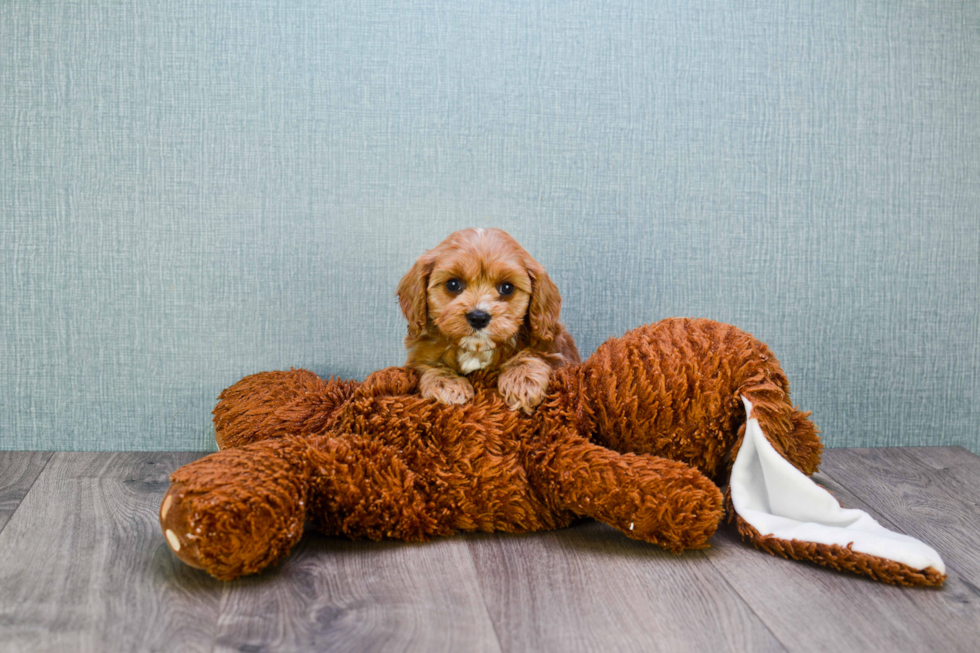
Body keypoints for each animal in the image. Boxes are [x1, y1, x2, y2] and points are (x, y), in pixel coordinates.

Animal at [394, 228, 580, 412]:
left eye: (507, 288)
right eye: (453, 284)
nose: (478, 317)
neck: (476, 350)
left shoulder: (559, 355)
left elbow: (535, 354)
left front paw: (523, 381)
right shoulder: (417, 357)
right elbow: (428, 365)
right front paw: (447, 384)